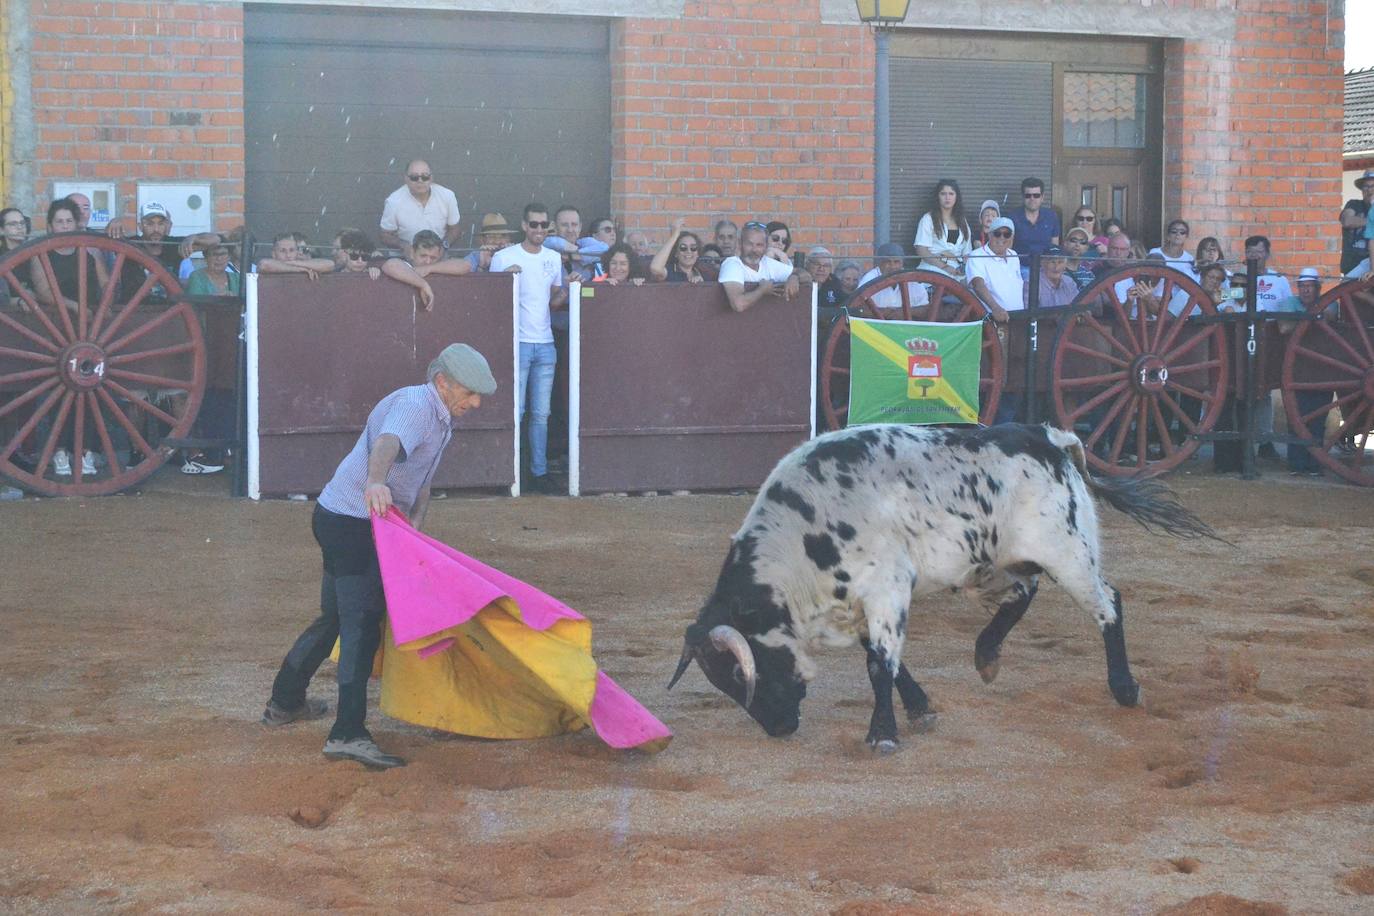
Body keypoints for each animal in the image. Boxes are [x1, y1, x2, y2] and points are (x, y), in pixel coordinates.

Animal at [665, 425, 1214, 752]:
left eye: (742, 673)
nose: (780, 727)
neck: (805, 535)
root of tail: (1050, 438)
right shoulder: (859, 604)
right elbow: (887, 659)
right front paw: (920, 709)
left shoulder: (886, 590)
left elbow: (879, 664)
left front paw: (882, 734)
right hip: (993, 564)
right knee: (1023, 592)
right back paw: (986, 655)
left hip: (1069, 554)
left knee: (1108, 604)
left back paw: (1124, 687)